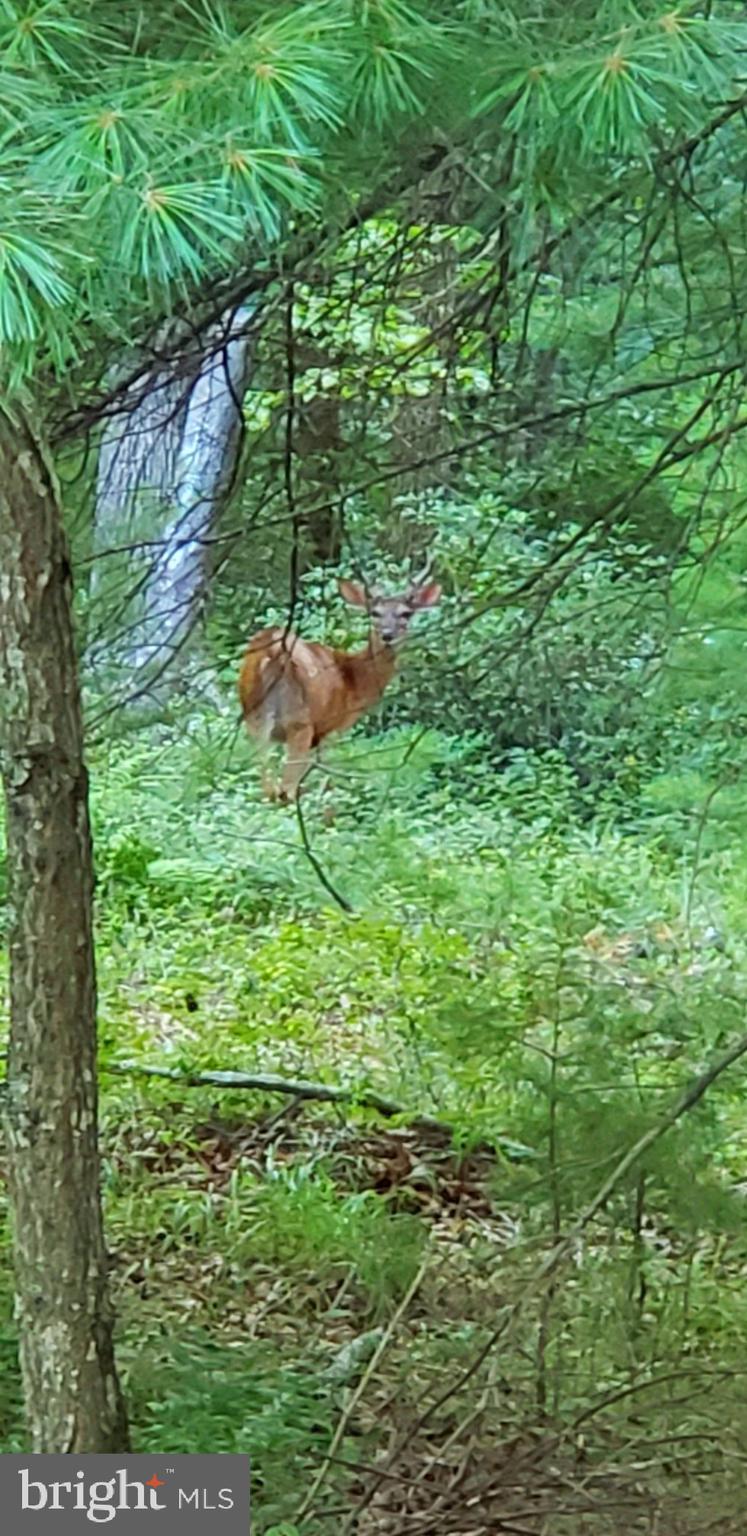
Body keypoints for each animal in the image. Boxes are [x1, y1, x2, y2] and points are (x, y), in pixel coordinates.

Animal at [238, 575, 442, 802]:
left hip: (254, 715)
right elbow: (325, 780)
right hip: (299, 721)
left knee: (267, 784)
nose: (387, 635)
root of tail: (272, 650)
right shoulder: (333, 729)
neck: (354, 679)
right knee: (286, 788)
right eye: (375, 613)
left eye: (406, 613)